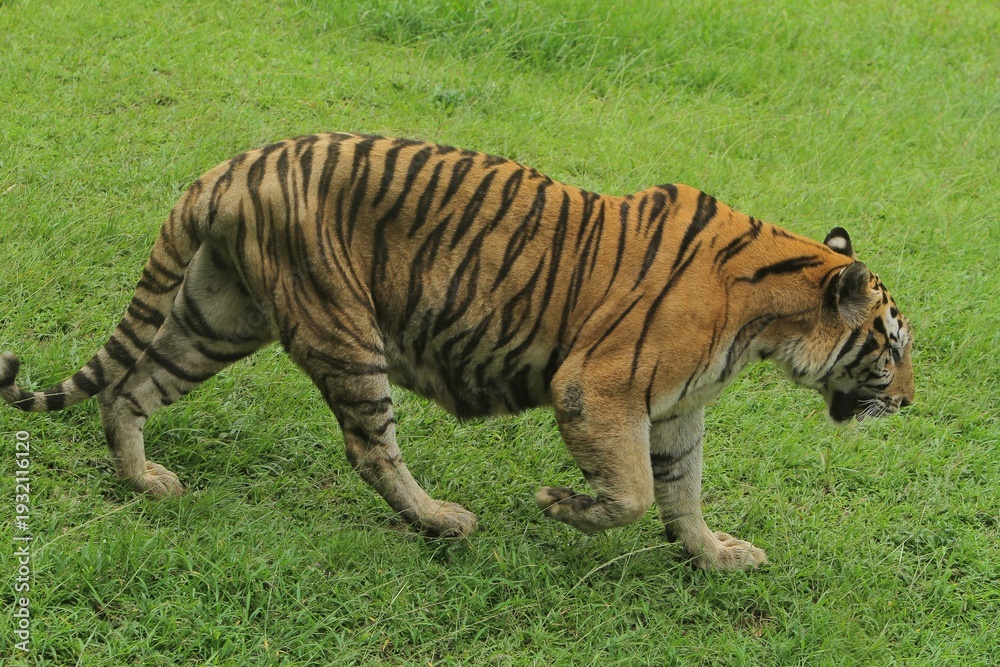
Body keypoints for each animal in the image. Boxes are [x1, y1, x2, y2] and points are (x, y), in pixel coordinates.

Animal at [0, 132, 914, 570]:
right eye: (893, 348)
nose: (908, 403)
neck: (770, 319)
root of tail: (231, 166)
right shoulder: (597, 388)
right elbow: (628, 494)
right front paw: (560, 507)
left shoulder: (677, 410)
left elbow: (681, 497)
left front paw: (717, 558)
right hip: (344, 330)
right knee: (371, 447)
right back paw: (441, 520)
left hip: (218, 315)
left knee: (129, 388)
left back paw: (144, 480)